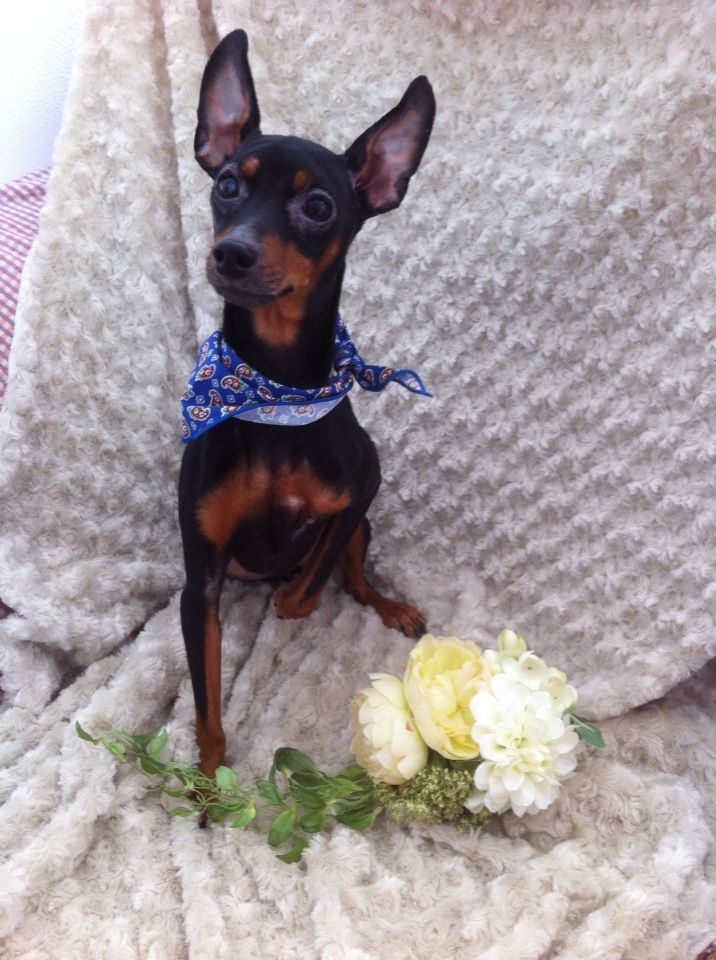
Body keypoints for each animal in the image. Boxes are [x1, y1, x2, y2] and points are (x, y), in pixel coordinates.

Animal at [179, 29, 435, 779]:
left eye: (318, 207)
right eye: (227, 186)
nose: (231, 254)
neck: (274, 392)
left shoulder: (362, 489)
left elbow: (311, 577)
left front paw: (296, 597)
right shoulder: (200, 585)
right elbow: (207, 709)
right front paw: (206, 785)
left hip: (368, 527)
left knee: (353, 573)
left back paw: (391, 607)